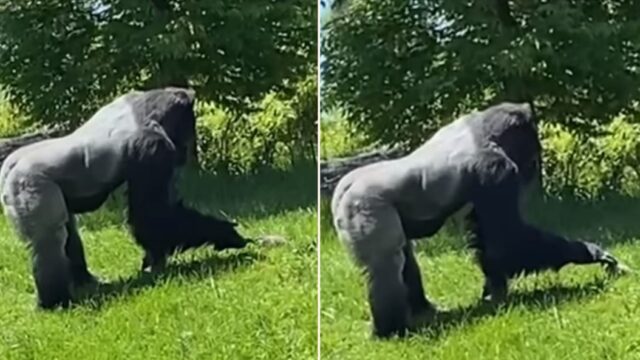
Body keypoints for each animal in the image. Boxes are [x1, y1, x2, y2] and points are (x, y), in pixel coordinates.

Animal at [0, 87, 249, 310]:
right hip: (29, 184)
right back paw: (55, 302)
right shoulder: (152, 146)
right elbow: (152, 215)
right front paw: (225, 233)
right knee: (50, 239)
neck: (147, 110)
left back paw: (84, 282)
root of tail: (8, 167)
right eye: (189, 125)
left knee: (66, 232)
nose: (186, 149)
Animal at [330, 101, 624, 338]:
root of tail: (341, 189)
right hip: (363, 206)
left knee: (403, 257)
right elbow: (508, 240)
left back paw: (422, 310)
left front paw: (493, 289)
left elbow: (489, 240)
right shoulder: (497, 169)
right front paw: (589, 252)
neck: (484, 131)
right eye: (530, 145)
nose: (532, 165)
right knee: (386, 265)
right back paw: (391, 330)